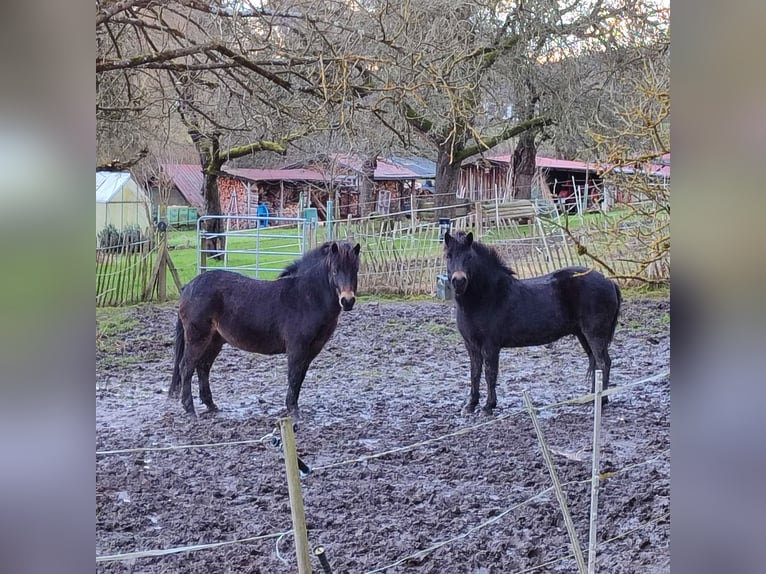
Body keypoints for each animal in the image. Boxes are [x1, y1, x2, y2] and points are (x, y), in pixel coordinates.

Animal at [170, 241, 362, 416]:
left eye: (355, 270)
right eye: (335, 270)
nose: (347, 301)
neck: (305, 297)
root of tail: (188, 287)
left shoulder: (311, 350)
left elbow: (300, 377)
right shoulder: (297, 348)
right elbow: (293, 376)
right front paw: (293, 411)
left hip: (215, 340)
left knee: (203, 367)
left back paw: (211, 406)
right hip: (197, 337)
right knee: (186, 367)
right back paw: (190, 409)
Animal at [448, 232, 620, 416]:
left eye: (469, 257)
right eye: (448, 256)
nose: (459, 281)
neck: (487, 296)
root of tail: (609, 281)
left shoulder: (490, 346)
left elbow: (489, 374)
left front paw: (488, 406)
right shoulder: (471, 345)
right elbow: (474, 373)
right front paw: (471, 405)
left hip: (594, 334)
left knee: (603, 363)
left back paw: (601, 400)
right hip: (583, 335)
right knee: (596, 363)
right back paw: (592, 397)